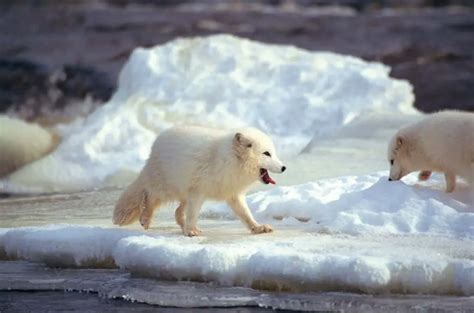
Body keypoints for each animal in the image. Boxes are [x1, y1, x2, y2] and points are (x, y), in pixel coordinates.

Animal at [114, 125, 286, 235]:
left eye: (274, 153)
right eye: (267, 154)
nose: (284, 167)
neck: (228, 160)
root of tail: (156, 144)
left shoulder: (233, 194)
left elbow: (246, 214)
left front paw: (257, 228)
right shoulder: (198, 192)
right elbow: (193, 214)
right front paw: (191, 231)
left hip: (184, 193)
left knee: (177, 212)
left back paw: (181, 225)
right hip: (167, 187)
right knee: (149, 195)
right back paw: (146, 219)